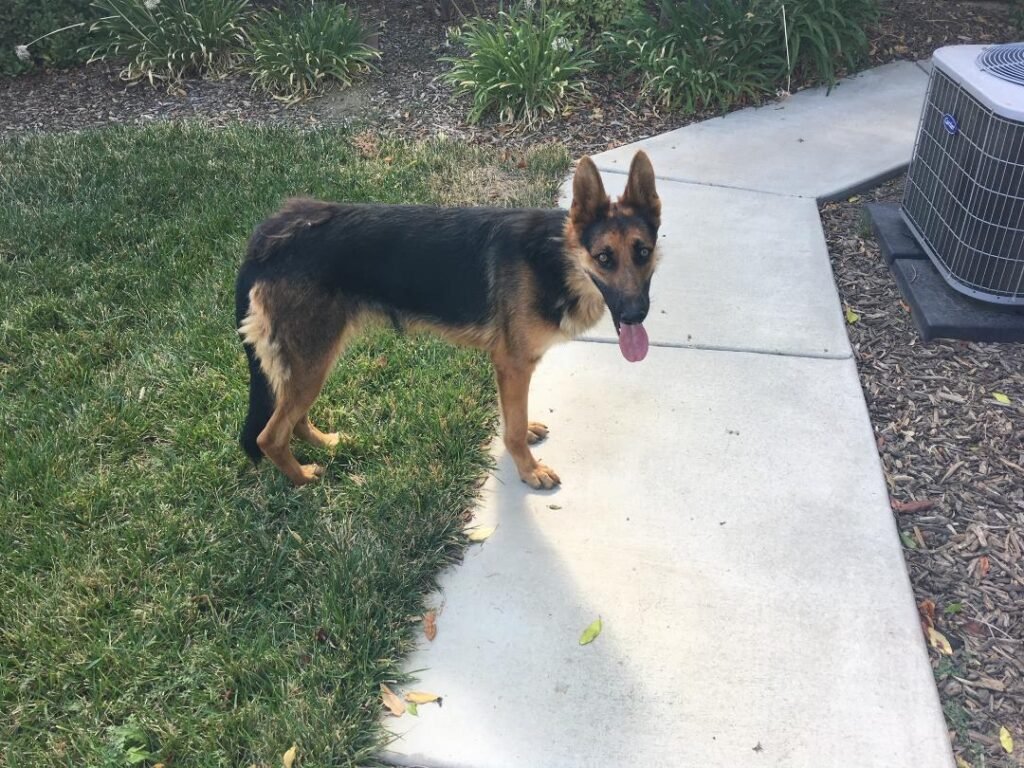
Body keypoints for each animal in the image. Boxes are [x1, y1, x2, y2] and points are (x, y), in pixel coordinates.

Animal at [235, 151, 659, 489]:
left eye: (643, 252)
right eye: (604, 258)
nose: (635, 314)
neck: (558, 260)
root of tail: (274, 231)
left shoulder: (509, 368)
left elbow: (513, 417)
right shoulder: (513, 363)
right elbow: (513, 429)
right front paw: (528, 470)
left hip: (311, 361)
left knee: (292, 418)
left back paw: (325, 444)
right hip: (312, 360)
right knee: (270, 435)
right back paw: (303, 479)